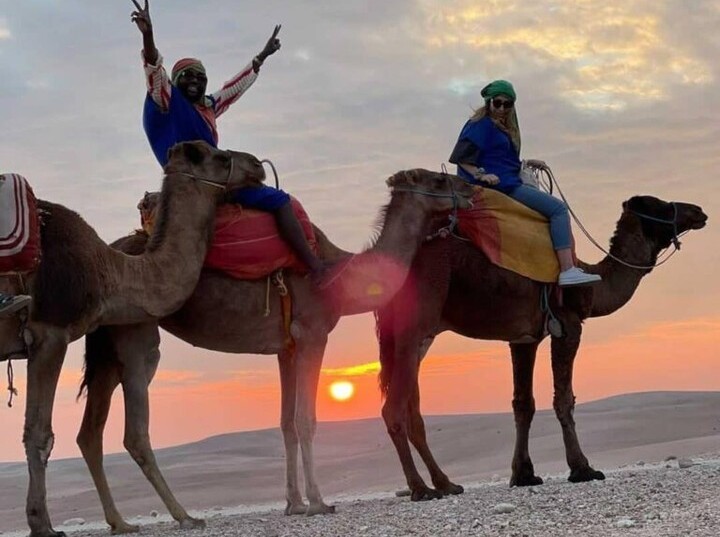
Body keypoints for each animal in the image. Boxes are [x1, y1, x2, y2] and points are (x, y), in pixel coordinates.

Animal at [0, 141, 264, 536]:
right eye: (218, 156)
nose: (257, 165)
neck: (107, 273)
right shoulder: (50, 333)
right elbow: (39, 432)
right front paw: (42, 525)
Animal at [74, 168, 478, 532]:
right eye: (439, 179)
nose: (471, 190)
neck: (343, 276)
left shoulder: (287, 347)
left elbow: (286, 423)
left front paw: (294, 504)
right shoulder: (313, 334)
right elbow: (306, 419)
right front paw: (317, 502)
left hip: (106, 347)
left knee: (90, 432)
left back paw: (120, 522)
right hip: (137, 334)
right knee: (135, 429)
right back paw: (184, 516)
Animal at [376, 195, 708, 500]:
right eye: (660, 206)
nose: (699, 211)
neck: (593, 284)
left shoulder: (524, 338)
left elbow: (524, 404)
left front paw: (523, 474)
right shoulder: (568, 324)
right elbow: (564, 398)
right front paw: (582, 468)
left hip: (417, 339)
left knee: (412, 411)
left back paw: (446, 484)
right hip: (414, 324)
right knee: (393, 409)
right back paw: (420, 488)